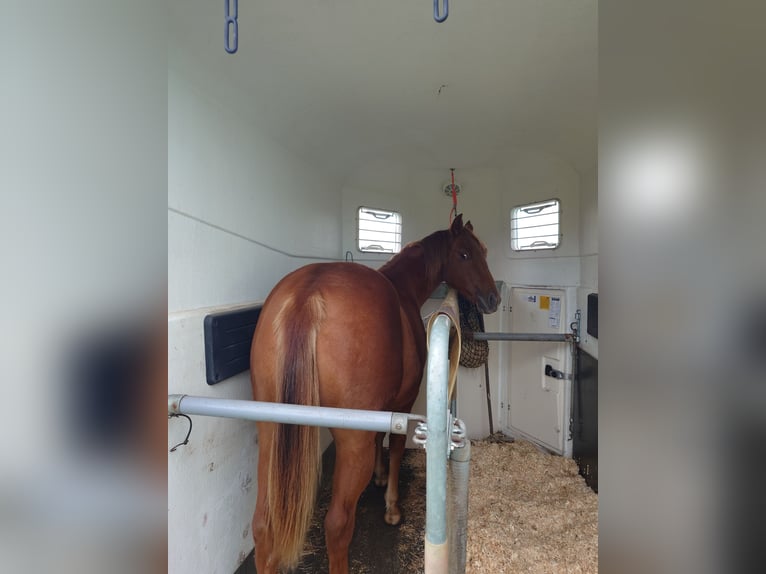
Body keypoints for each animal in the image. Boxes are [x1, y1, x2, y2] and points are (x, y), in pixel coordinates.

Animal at [249, 214, 499, 573]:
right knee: (337, 525)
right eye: (465, 254)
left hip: (271, 434)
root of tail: (307, 295)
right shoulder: (402, 403)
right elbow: (394, 447)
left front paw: (380, 478)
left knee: (262, 525)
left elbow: (382, 439)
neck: (402, 290)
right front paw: (391, 506)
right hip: (351, 446)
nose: (493, 298)